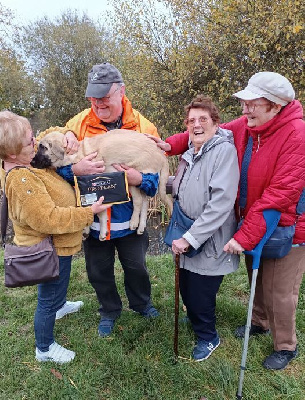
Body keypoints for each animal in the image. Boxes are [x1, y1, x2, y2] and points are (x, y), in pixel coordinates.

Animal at [31, 130, 172, 241]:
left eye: (43, 147)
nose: (31, 162)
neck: (74, 153)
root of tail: (161, 155)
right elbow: (84, 208)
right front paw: (86, 229)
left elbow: (100, 214)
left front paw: (102, 232)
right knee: (145, 202)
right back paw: (141, 226)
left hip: (132, 176)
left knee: (138, 201)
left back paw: (133, 222)